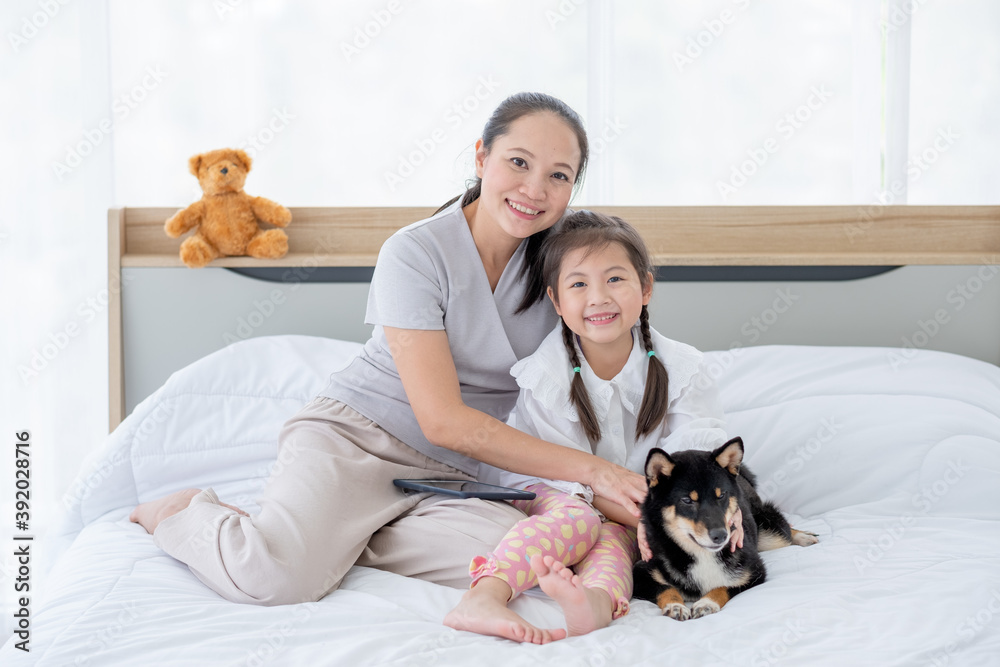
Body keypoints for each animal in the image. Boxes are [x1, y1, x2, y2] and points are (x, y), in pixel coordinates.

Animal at [636, 438, 816, 620]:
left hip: (770, 532)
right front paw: (675, 605)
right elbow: (665, 588)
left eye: (721, 495)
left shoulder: (753, 572)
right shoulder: (641, 572)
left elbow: (723, 587)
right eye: (687, 500)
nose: (721, 535)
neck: (703, 555)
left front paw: (707, 603)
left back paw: (804, 536)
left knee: (784, 531)